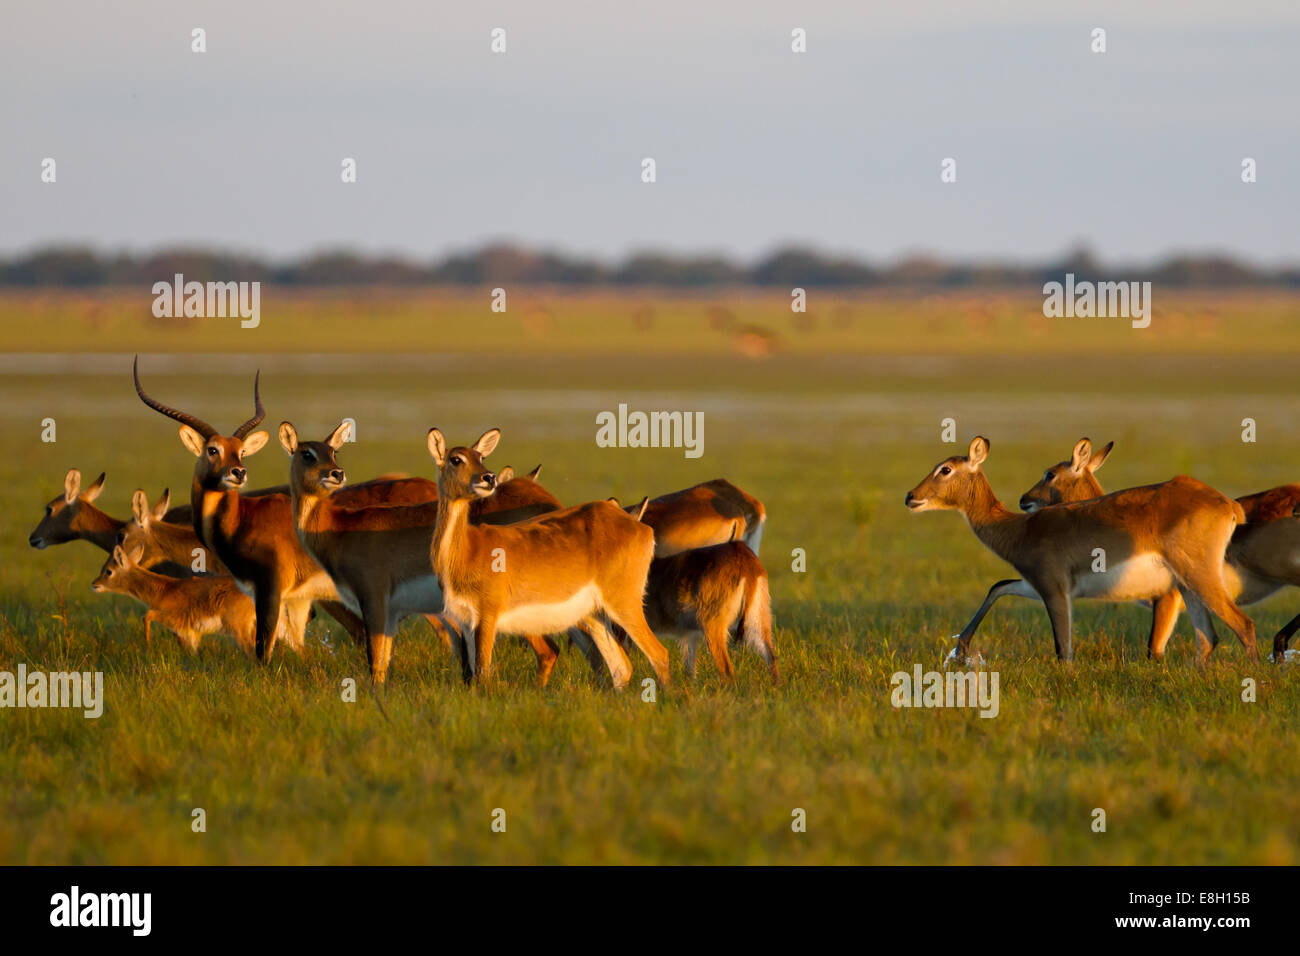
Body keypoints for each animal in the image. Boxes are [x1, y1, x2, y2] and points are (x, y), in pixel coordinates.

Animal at [92, 541, 254, 655]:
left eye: (108, 571)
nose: (94, 584)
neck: (163, 590)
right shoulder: (191, 633)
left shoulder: (173, 620)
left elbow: (146, 616)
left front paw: (148, 646)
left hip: (240, 630)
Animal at [279, 421, 579, 686]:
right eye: (307, 453)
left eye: (333, 452)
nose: (336, 473)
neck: (340, 527)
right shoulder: (392, 612)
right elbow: (383, 661)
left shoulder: (373, 600)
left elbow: (374, 661)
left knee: (548, 650)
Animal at [428, 429, 670, 691]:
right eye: (456, 459)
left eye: (480, 456)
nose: (488, 477)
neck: (467, 551)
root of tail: (640, 526)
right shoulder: (465, 621)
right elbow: (473, 674)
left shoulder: (487, 616)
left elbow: (483, 674)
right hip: (593, 614)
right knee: (621, 667)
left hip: (624, 602)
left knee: (659, 654)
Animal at [904, 437, 1258, 660]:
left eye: (945, 469)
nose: (910, 496)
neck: (1020, 528)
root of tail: (1227, 505)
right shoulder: (1037, 585)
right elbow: (999, 586)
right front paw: (960, 649)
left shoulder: (1054, 591)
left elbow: (1064, 651)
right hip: (1188, 587)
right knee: (1209, 639)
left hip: (1197, 580)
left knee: (1244, 624)